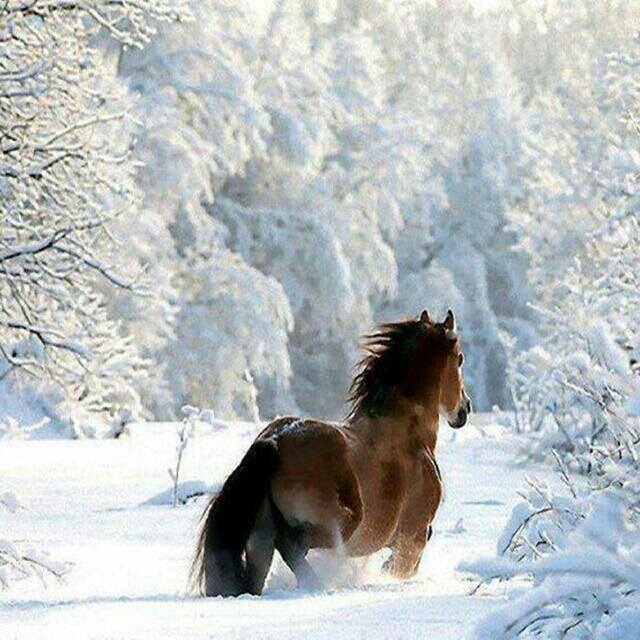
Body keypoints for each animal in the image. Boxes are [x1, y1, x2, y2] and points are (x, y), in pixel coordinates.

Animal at [190, 308, 471, 596]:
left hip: (260, 540)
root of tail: (274, 441)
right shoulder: (413, 536)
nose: (465, 409)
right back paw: (316, 584)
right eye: (459, 359)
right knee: (291, 546)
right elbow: (401, 568)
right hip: (341, 524)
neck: (408, 433)